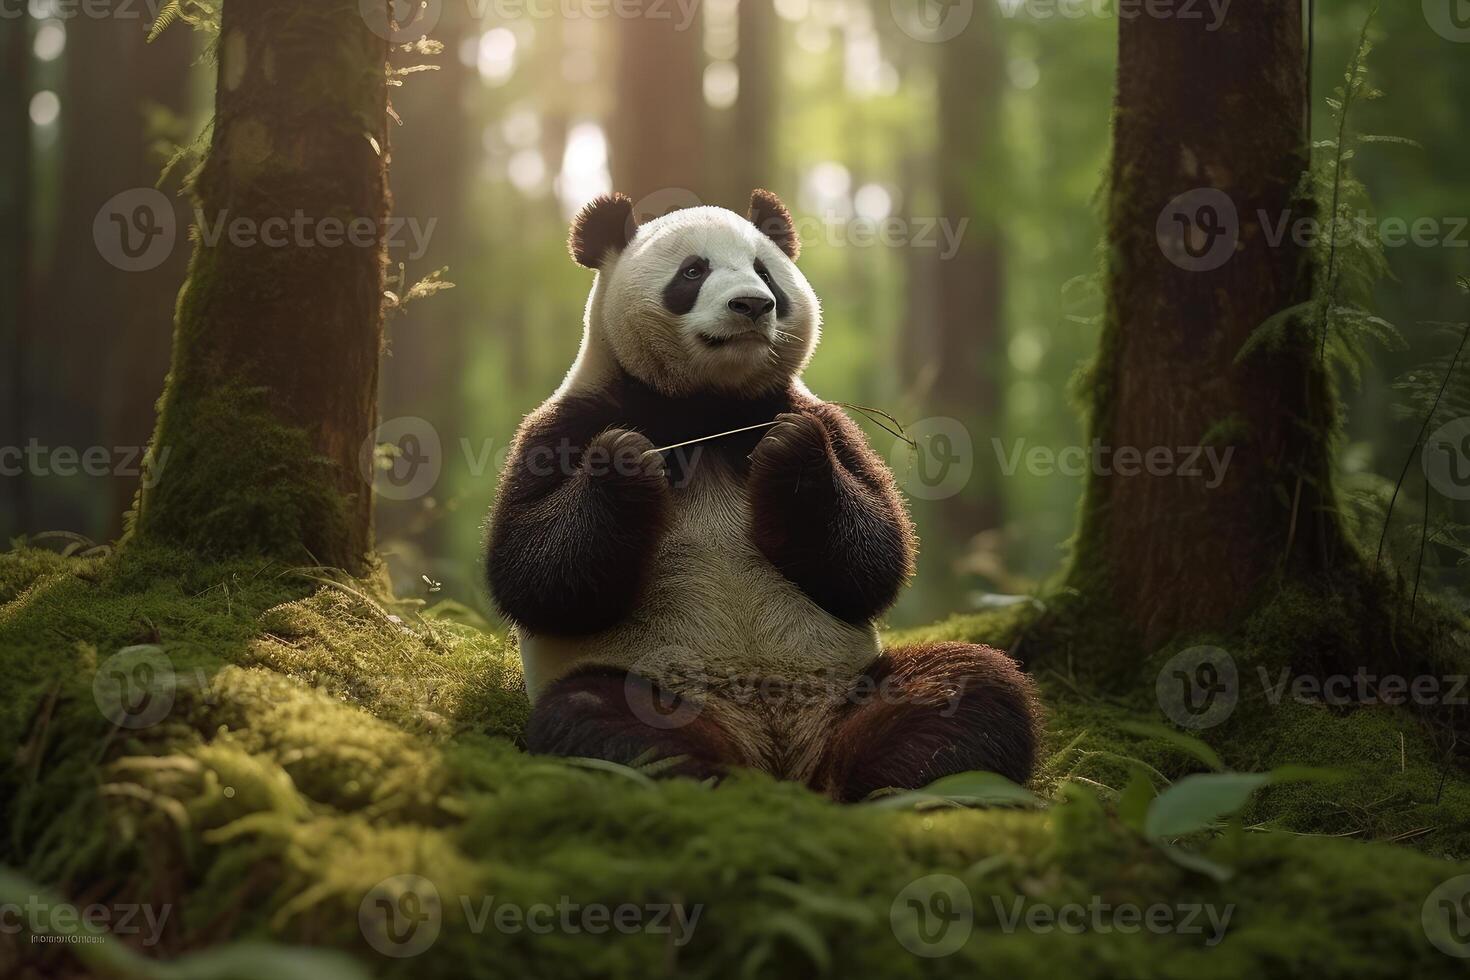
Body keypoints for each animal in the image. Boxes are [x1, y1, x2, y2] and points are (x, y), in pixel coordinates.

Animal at [488, 191, 1040, 805]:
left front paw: (791, 452)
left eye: (764, 271)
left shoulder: (815, 415)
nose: (753, 304)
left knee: (966, 686)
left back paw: (888, 783)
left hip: (850, 689)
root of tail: (781, 760)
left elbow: (873, 559)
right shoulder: (569, 420)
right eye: (693, 271)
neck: (707, 409)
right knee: (598, 721)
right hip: (656, 687)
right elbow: (533, 571)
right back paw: (705, 780)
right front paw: (627, 461)